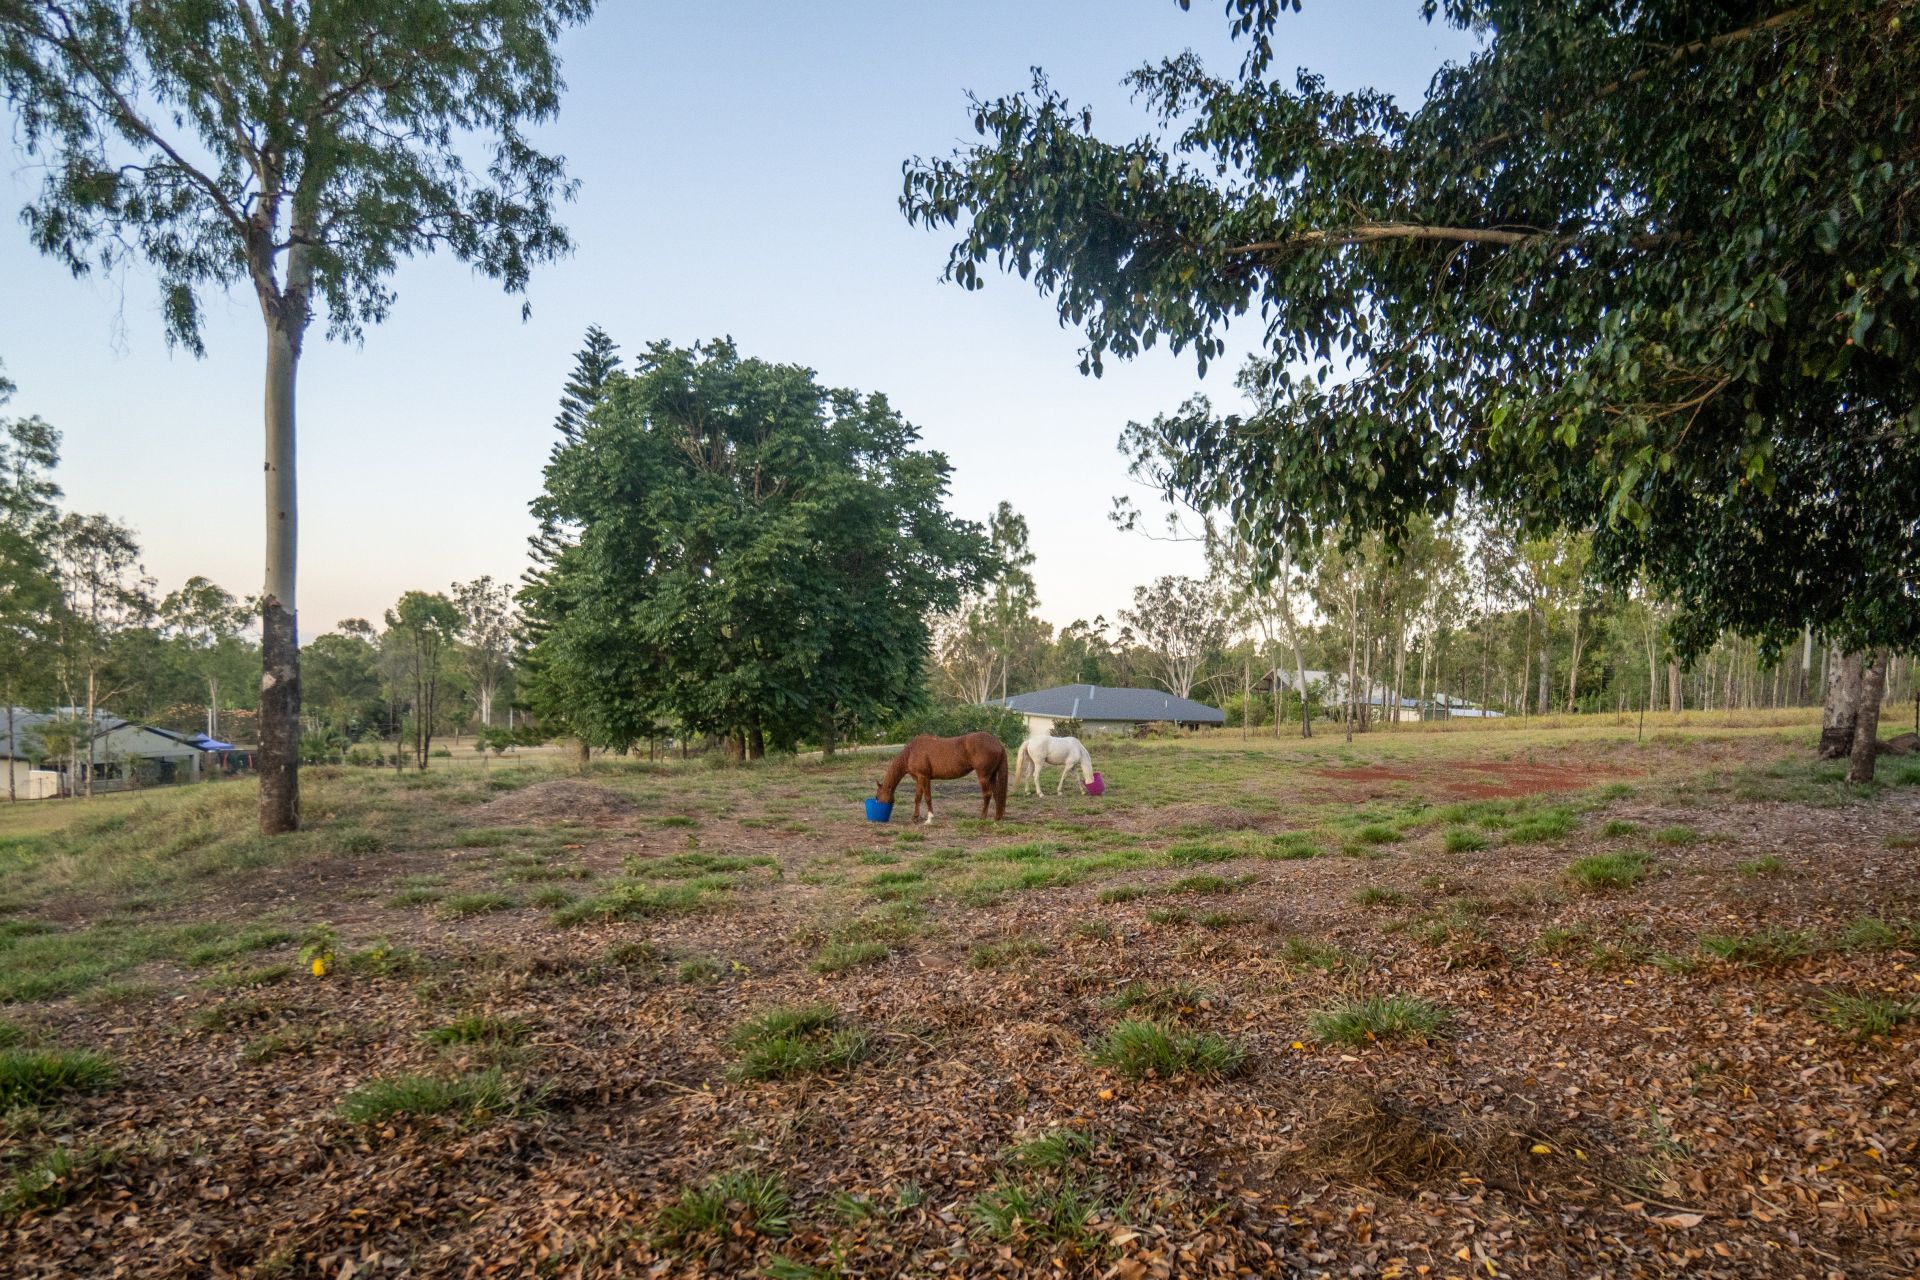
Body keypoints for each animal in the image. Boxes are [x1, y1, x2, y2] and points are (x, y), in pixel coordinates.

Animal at [876, 732, 1008, 823]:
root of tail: (998, 743)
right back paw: (997, 817)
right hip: (991, 776)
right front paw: (915, 817)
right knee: (997, 794)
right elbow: (918, 797)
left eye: (877, 796)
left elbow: (927, 797)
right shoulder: (919, 778)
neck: (911, 752)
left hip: (983, 777)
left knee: (987, 795)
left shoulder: (924, 777)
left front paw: (929, 819)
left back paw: (982, 817)